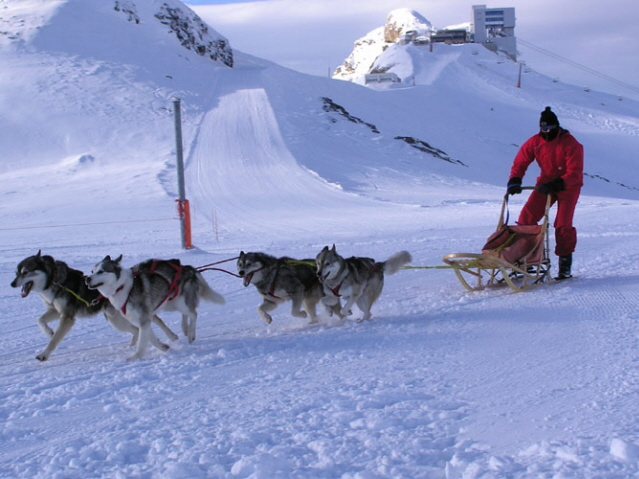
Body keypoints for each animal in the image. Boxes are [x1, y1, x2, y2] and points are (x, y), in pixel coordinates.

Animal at [11, 251, 176, 360]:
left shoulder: (67, 317)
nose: (12, 284)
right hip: (116, 320)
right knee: (137, 330)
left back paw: (172, 336)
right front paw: (49, 331)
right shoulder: (56, 310)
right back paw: (133, 345)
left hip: (123, 318)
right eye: (16, 272)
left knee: (155, 321)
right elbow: (40, 321)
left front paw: (44, 354)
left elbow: (54, 340)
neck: (56, 280)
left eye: (25, 272)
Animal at [85, 255, 225, 360]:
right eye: (92, 271)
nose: (87, 279)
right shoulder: (143, 318)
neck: (122, 287)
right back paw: (184, 328)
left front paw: (136, 357)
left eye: (101, 271)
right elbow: (150, 337)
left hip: (180, 303)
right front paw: (163, 347)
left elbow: (142, 341)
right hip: (170, 303)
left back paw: (191, 334)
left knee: (193, 313)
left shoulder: (144, 318)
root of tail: (188, 268)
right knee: (186, 314)